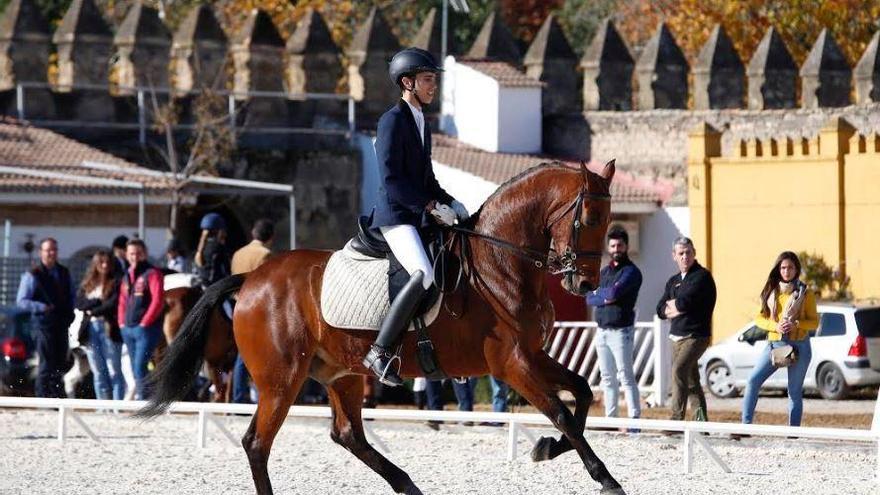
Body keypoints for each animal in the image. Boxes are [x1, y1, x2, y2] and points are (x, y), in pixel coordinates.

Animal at [139, 163, 624, 495]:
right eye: (589, 219)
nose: (585, 284)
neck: (502, 262)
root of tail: (253, 278)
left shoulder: (533, 354)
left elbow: (582, 393)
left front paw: (547, 448)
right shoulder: (511, 364)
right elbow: (562, 413)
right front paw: (605, 477)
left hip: (343, 374)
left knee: (348, 434)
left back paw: (408, 485)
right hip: (281, 380)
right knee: (258, 443)